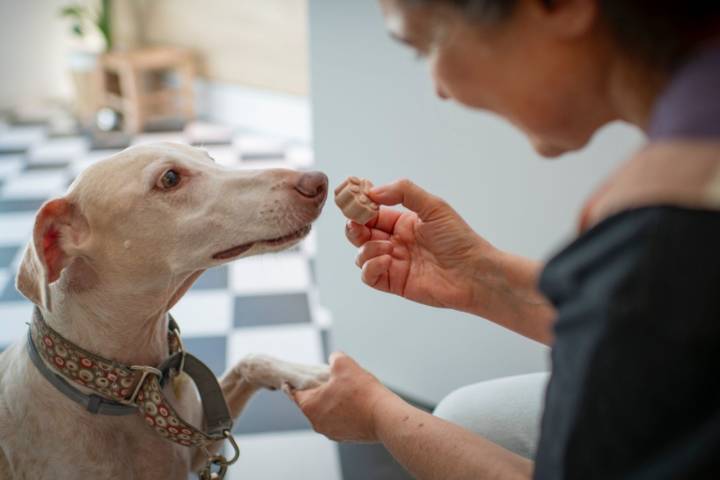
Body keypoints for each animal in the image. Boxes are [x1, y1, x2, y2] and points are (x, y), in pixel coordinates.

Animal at [0, 143, 330, 480]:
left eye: (210, 158)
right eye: (170, 178)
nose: (318, 182)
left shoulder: (203, 445)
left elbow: (250, 359)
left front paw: (314, 375)